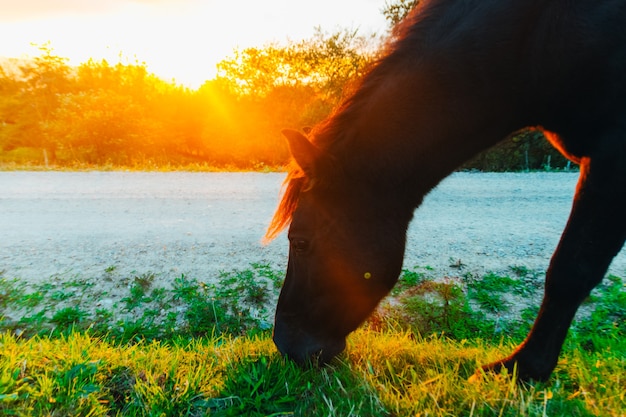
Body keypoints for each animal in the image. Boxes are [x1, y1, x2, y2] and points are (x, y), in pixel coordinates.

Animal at [264, 0, 624, 380]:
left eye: (300, 242)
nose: (285, 345)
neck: (534, 41)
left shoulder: (612, 157)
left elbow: (571, 270)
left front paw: (524, 368)